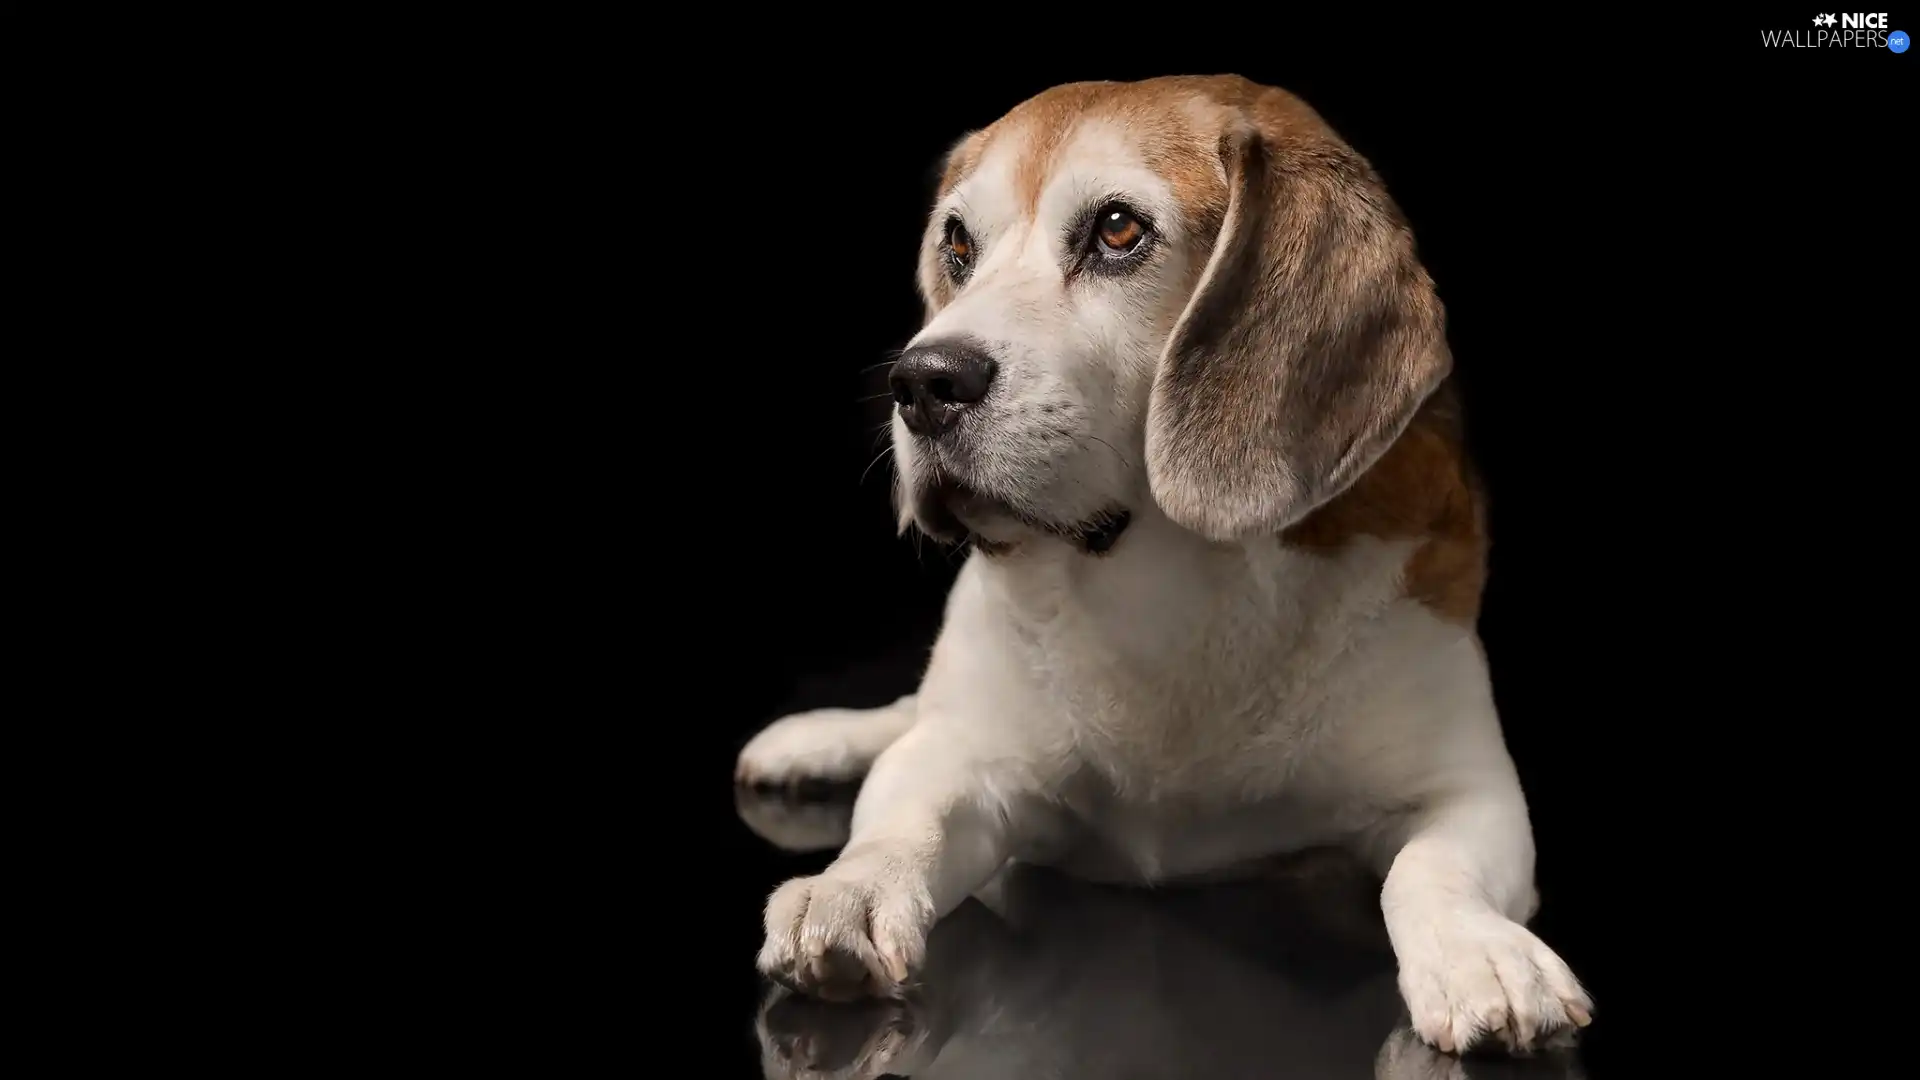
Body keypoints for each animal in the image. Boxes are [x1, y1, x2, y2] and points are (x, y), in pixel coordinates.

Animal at [733, 75, 1589, 1053]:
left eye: (1117, 230)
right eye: (957, 244)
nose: (920, 381)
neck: (1168, 584)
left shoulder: (1473, 791)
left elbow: (1431, 866)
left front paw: (1481, 952)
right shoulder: (965, 758)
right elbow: (905, 815)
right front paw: (849, 887)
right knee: (909, 717)